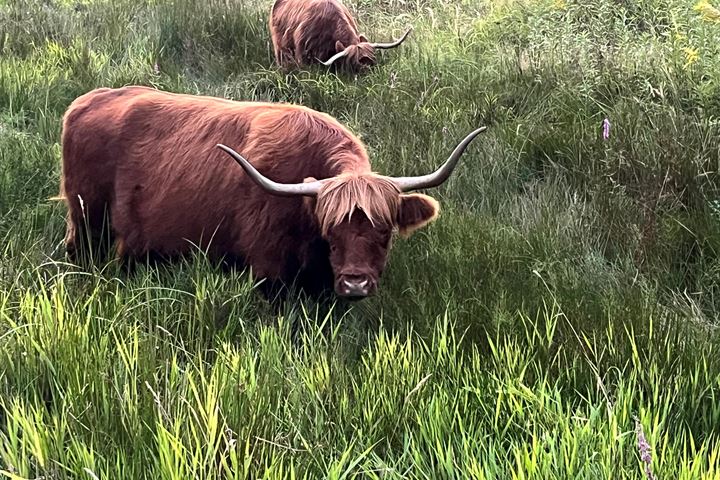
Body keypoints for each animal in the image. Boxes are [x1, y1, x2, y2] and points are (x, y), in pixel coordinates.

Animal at [57, 84, 484, 298]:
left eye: (384, 233)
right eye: (331, 234)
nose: (355, 283)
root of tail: (88, 99)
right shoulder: (267, 272)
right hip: (86, 223)